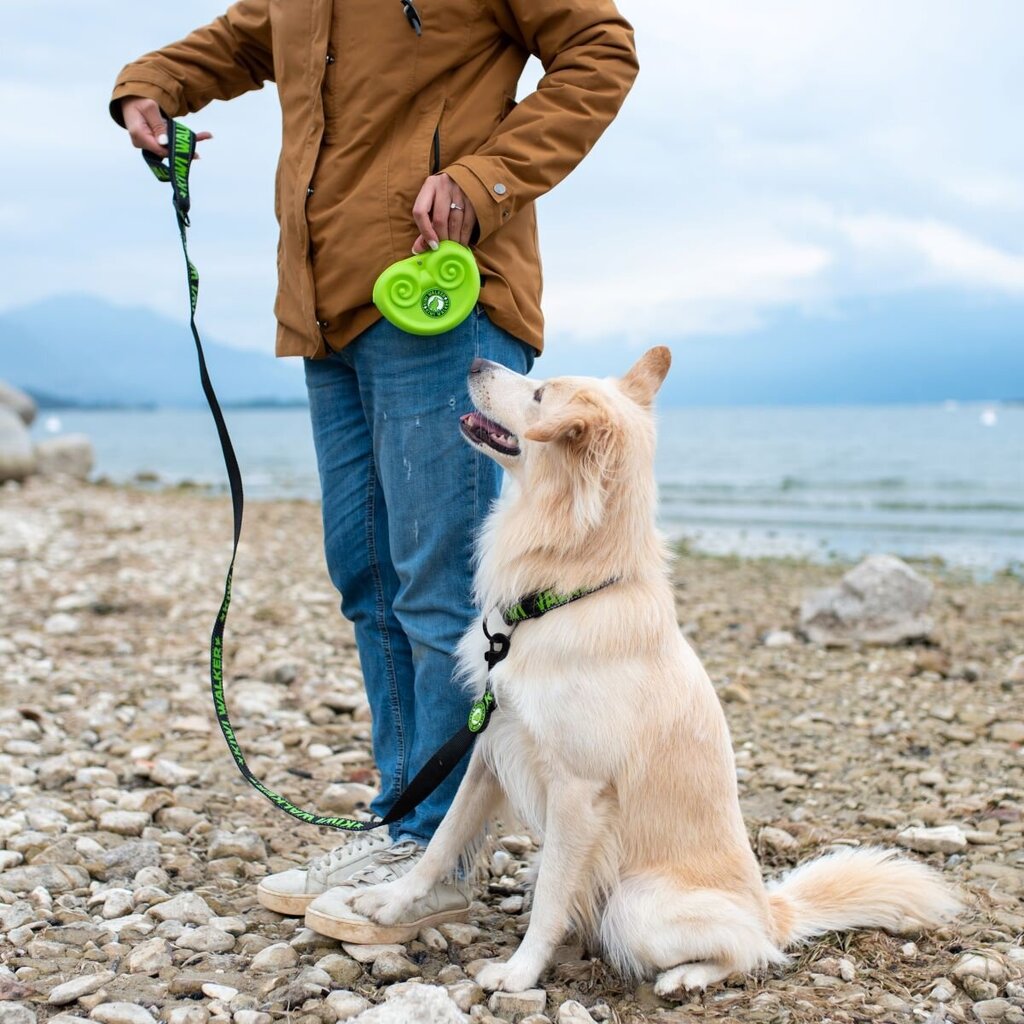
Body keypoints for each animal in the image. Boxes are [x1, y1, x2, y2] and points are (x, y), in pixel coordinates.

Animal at [352, 348, 958, 995]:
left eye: (539, 394)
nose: (473, 360)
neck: (566, 591)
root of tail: (771, 910)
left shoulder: (577, 793)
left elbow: (550, 899)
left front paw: (519, 972)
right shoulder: (490, 747)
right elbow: (442, 841)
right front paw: (393, 901)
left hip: (637, 905)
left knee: (751, 952)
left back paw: (684, 978)